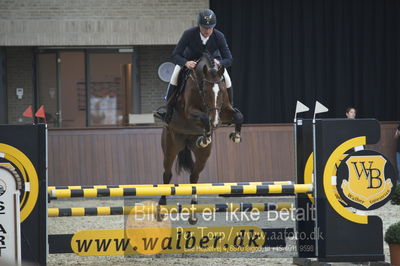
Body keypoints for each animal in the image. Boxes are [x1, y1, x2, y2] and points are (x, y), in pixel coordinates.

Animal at [158, 52, 242, 222]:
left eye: (221, 91)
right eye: (206, 91)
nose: (216, 121)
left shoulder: (223, 110)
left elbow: (238, 116)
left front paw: (235, 136)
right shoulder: (190, 111)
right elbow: (204, 118)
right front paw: (206, 136)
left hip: (203, 155)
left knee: (194, 176)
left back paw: (193, 208)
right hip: (171, 147)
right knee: (167, 174)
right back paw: (162, 203)